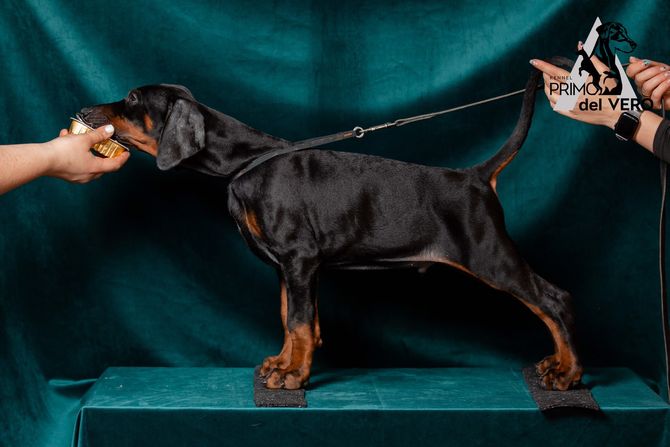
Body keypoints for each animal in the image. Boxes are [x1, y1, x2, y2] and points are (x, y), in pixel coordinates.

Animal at [78, 61, 583, 391]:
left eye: (133, 99)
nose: (83, 112)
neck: (246, 162)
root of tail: (476, 176)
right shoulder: (287, 269)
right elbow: (290, 317)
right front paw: (282, 364)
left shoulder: (300, 259)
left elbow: (302, 323)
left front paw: (293, 376)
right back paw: (558, 365)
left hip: (488, 253)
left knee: (553, 300)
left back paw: (569, 372)